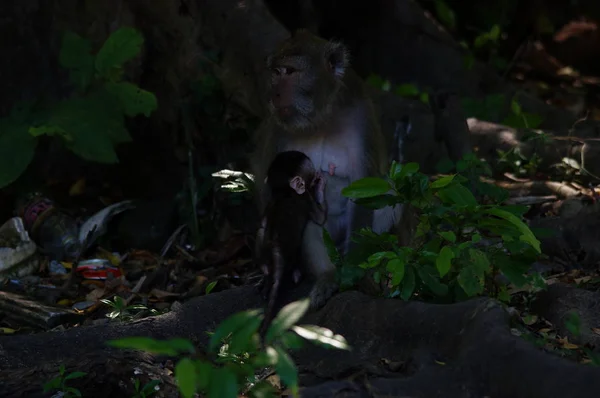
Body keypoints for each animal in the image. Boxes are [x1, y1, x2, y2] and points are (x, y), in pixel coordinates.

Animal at [251, 29, 400, 310]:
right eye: (275, 73)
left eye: (289, 71)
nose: (274, 95)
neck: (320, 120)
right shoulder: (276, 128)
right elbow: (271, 194)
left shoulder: (361, 116)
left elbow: (366, 186)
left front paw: (356, 273)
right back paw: (327, 276)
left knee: (393, 195)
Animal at [254, 151, 328, 340]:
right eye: (311, 177)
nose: (317, 175)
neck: (284, 191)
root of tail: (276, 247)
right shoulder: (305, 200)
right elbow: (320, 218)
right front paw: (320, 186)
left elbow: (262, 225)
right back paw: (296, 274)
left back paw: (266, 280)